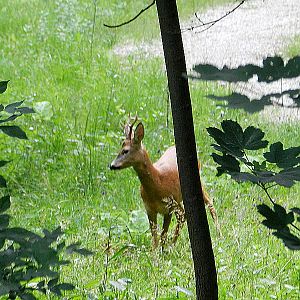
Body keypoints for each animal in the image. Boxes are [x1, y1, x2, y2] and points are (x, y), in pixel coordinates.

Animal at [109, 116, 219, 247]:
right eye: (119, 149)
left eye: (125, 151)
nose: (112, 165)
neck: (158, 183)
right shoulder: (149, 209)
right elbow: (155, 238)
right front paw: (156, 251)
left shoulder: (168, 208)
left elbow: (163, 235)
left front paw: (164, 249)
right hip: (178, 199)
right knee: (183, 214)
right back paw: (173, 243)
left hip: (196, 183)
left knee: (209, 201)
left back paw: (219, 233)